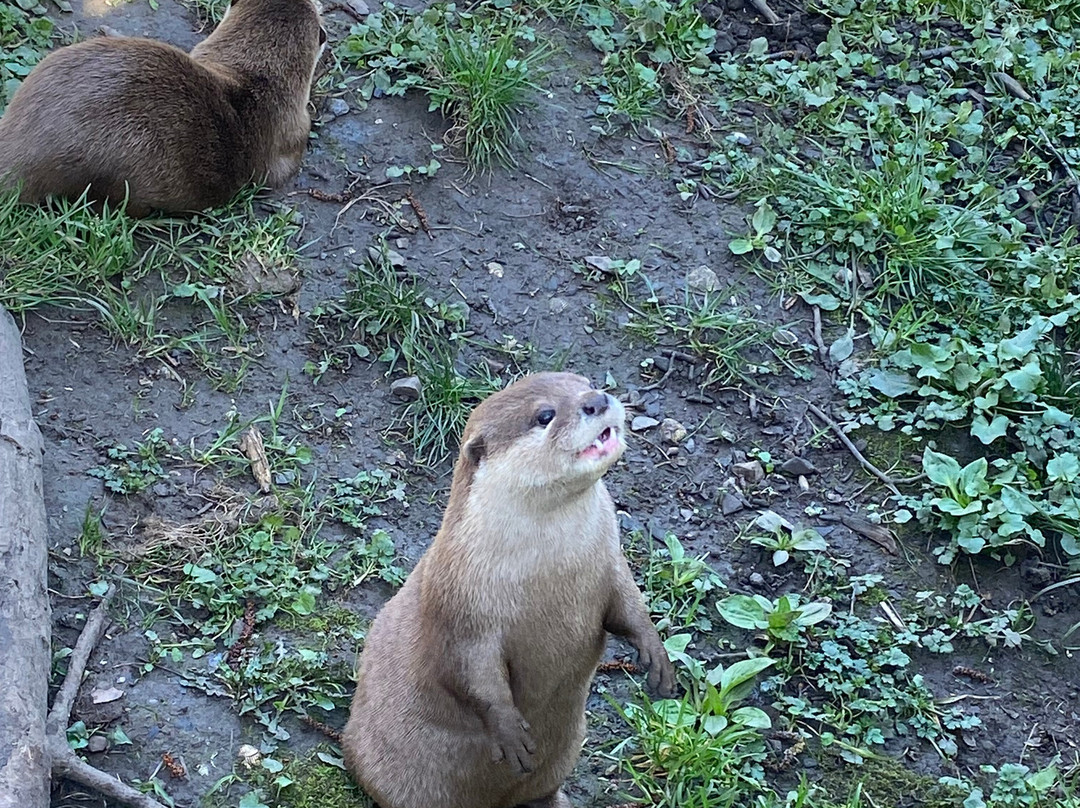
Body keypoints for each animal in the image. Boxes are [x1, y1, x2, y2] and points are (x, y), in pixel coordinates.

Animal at [343, 372, 676, 808]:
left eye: (585, 382)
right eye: (545, 415)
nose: (598, 400)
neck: (552, 567)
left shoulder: (611, 561)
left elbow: (631, 607)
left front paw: (657, 655)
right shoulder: (458, 607)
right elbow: (472, 675)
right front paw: (512, 733)